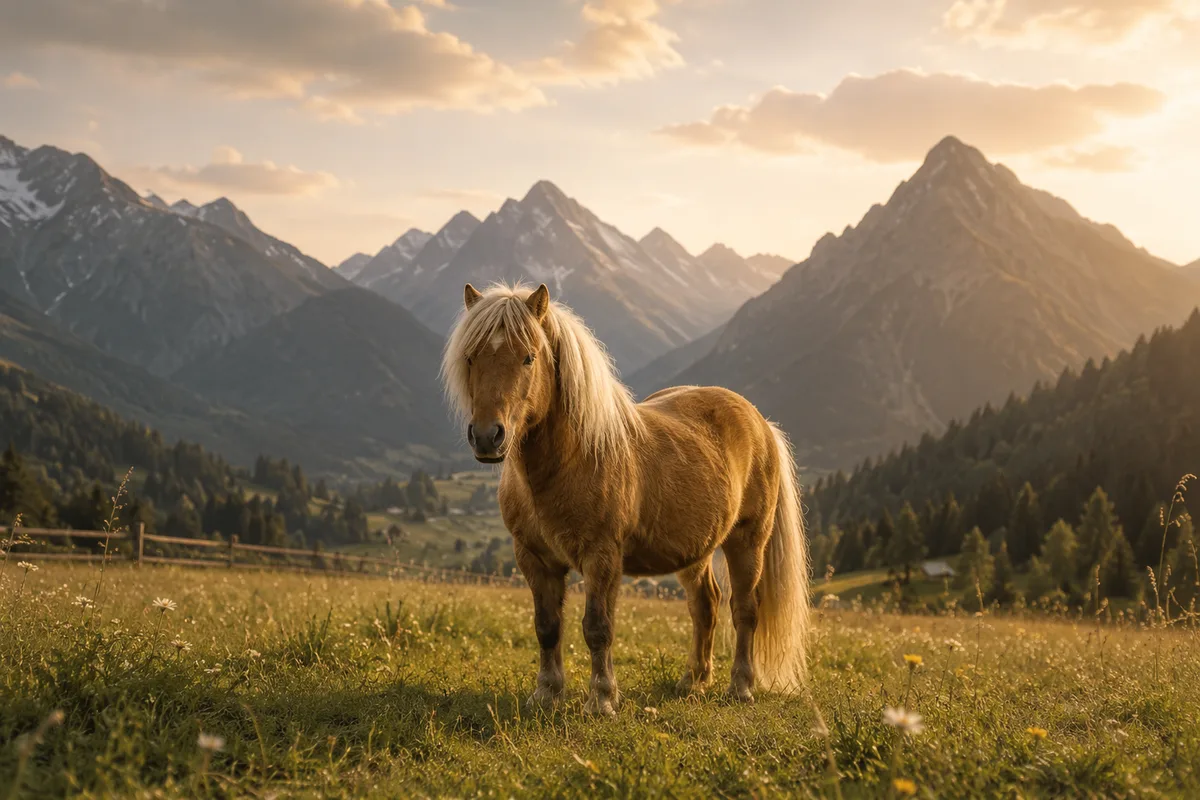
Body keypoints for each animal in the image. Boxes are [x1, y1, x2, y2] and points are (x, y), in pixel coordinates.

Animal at [441, 282, 810, 715]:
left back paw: (740, 687)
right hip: (696, 551)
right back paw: (693, 682)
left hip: (747, 542)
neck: (569, 461)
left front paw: (601, 699)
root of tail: (760, 422)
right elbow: (547, 626)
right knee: (705, 606)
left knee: (745, 611)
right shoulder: (534, 558)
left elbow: (597, 628)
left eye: (528, 357)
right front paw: (546, 693)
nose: (487, 437)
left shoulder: (601, 557)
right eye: (470, 356)